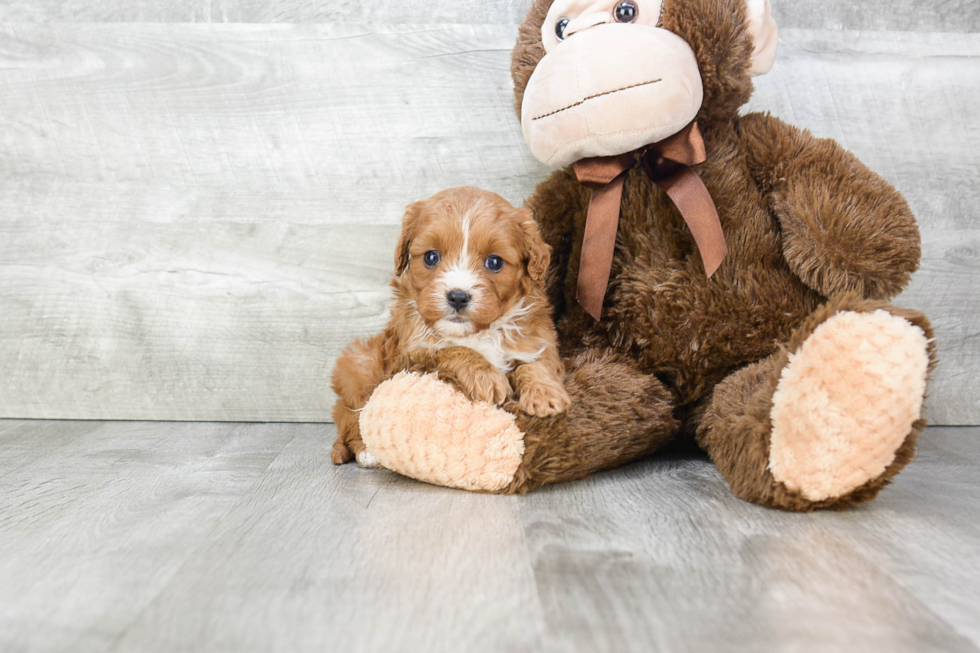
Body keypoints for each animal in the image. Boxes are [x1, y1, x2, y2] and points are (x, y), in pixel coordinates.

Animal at [332, 186, 572, 466]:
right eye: (431, 257)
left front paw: (545, 394)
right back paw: (366, 451)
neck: (477, 332)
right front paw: (486, 377)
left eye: (494, 262)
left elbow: (537, 363)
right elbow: (450, 350)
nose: (458, 297)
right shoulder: (409, 354)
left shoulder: (536, 337)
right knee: (349, 416)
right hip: (357, 365)